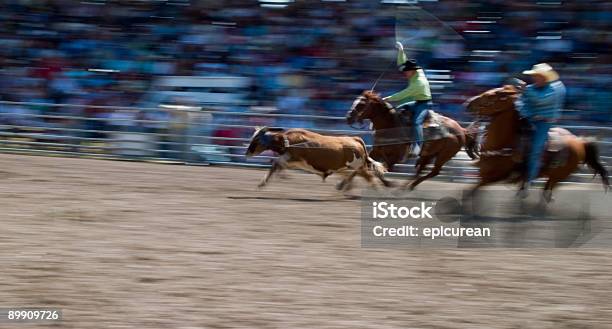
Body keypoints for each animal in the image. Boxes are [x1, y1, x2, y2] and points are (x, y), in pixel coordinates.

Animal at [244, 125, 392, 188]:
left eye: (256, 140)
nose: (247, 153)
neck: (287, 140)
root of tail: (355, 139)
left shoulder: (292, 157)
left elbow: (276, 163)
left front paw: (262, 183)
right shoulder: (292, 161)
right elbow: (278, 165)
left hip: (356, 165)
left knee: (369, 177)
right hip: (350, 166)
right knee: (354, 175)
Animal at [346, 89, 480, 190]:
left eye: (361, 105)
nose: (348, 118)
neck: (391, 125)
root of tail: (461, 130)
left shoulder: (396, 158)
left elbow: (380, 169)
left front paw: (389, 183)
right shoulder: (377, 150)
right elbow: (363, 164)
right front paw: (345, 185)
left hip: (444, 155)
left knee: (434, 171)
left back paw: (408, 187)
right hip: (429, 154)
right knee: (421, 169)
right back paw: (406, 187)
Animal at [464, 84, 608, 200]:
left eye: (490, 95)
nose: (468, 102)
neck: (503, 143)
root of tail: (579, 142)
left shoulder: (497, 176)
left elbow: (471, 192)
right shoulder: (483, 174)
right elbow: (472, 190)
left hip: (558, 176)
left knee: (547, 193)